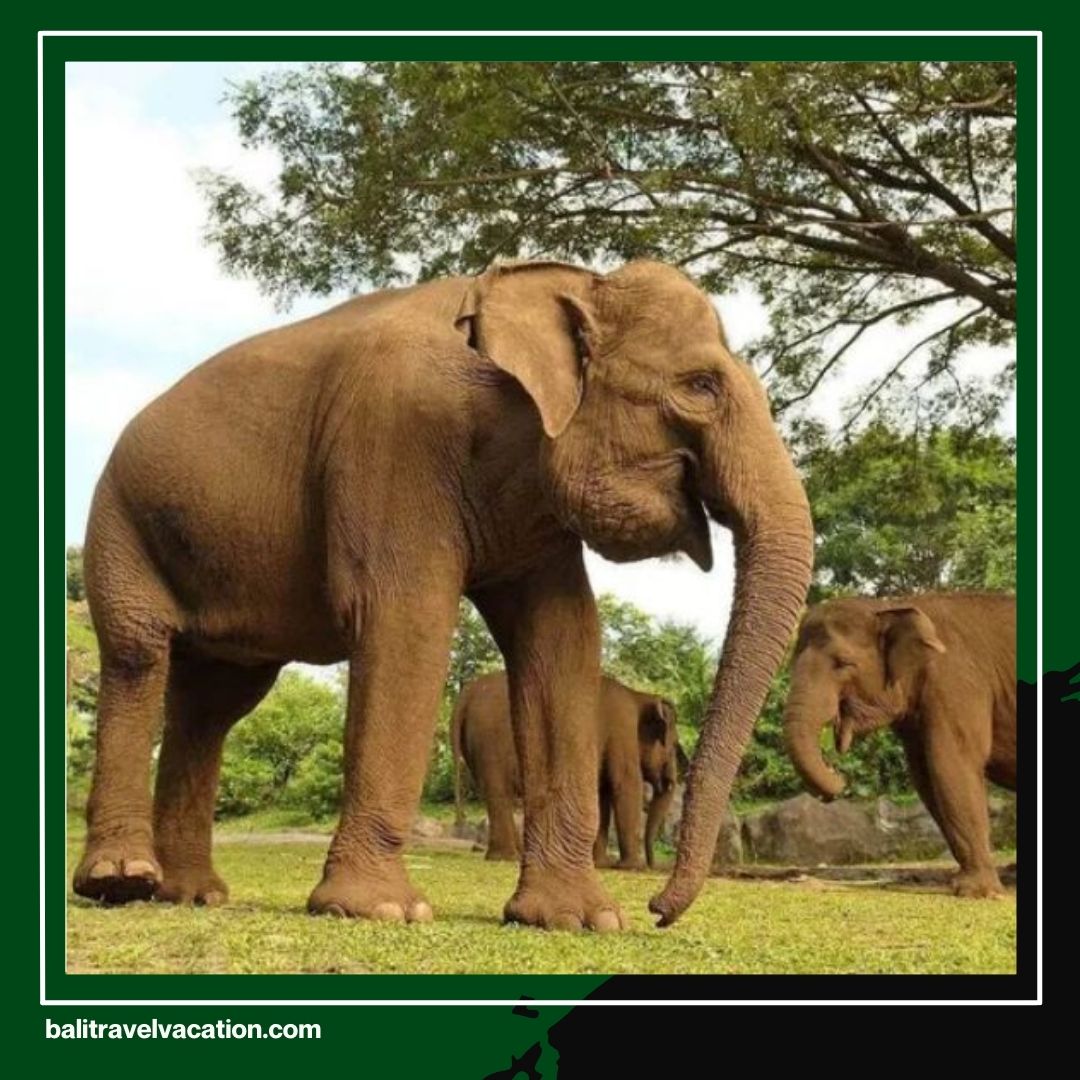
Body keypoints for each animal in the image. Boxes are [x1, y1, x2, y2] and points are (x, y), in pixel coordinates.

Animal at [451, 671, 689, 869]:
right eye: (673, 745)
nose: (652, 865)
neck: (638, 696)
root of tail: (467, 694)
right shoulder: (621, 733)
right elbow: (627, 785)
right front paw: (631, 867)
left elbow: (602, 795)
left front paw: (601, 863)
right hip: (490, 742)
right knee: (499, 793)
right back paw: (507, 857)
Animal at [782, 593, 1016, 898]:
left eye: (843, 663)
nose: (839, 777)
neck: (888, 606)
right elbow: (925, 777)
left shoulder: (956, 682)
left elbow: (952, 763)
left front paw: (976, 892)